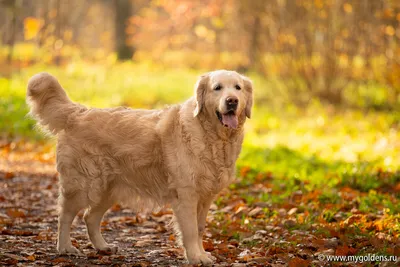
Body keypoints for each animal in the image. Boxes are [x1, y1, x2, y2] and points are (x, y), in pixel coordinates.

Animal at [26, 71, 253, 266]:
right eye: (217, 88)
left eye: (238, 88)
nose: (232, 101)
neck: (210, 135)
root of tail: (78, 113)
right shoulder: (186, 194)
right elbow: (189, 231)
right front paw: (196, 257)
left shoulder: (205, 197)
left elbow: (199, 228)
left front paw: (203, 254)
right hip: (83, 185)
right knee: (65, 215)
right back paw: (65, 248)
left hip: (109, 189)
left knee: (90, 217)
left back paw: (103, 247)